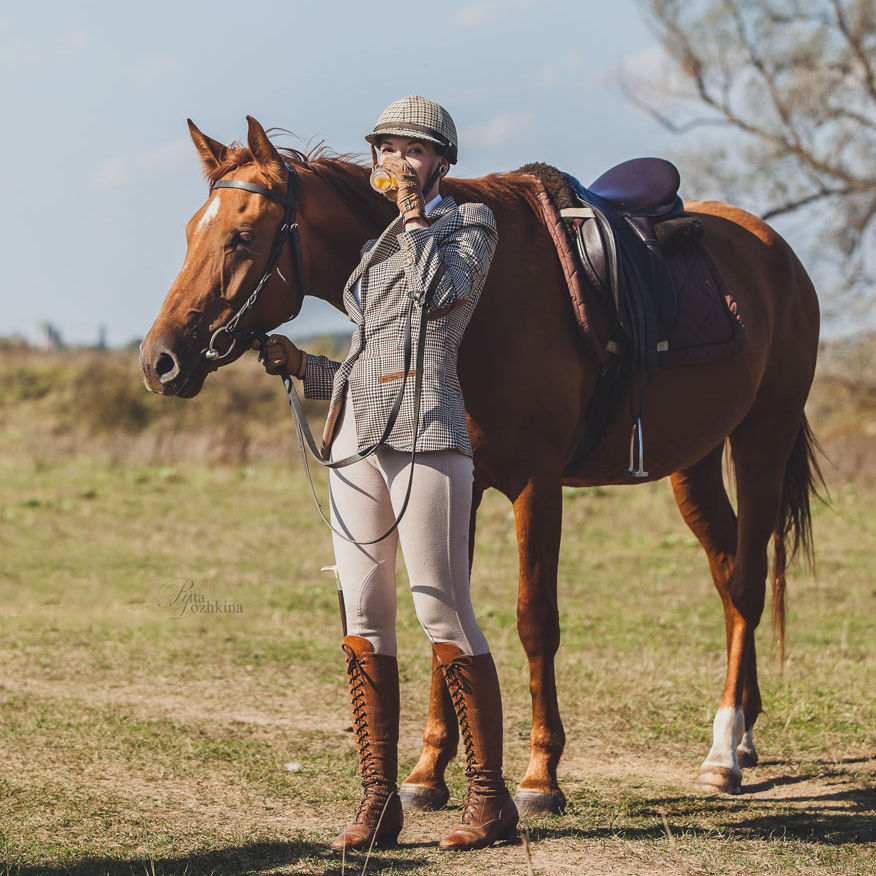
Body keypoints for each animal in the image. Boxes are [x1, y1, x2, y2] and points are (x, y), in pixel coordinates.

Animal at [140, 116, 824, 816]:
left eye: (242, 237)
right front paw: (427, 770)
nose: (159, 360)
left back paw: (723, 752)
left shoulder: (538, 484)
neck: (483, 301)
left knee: (747, 583)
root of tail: (778, 254)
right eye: (191, 232)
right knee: (728, 574)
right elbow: (445, 618)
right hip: (695, 462)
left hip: (762, 440)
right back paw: (744, 733)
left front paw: (541, 776)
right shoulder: (452, 482)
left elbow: (534, 620)